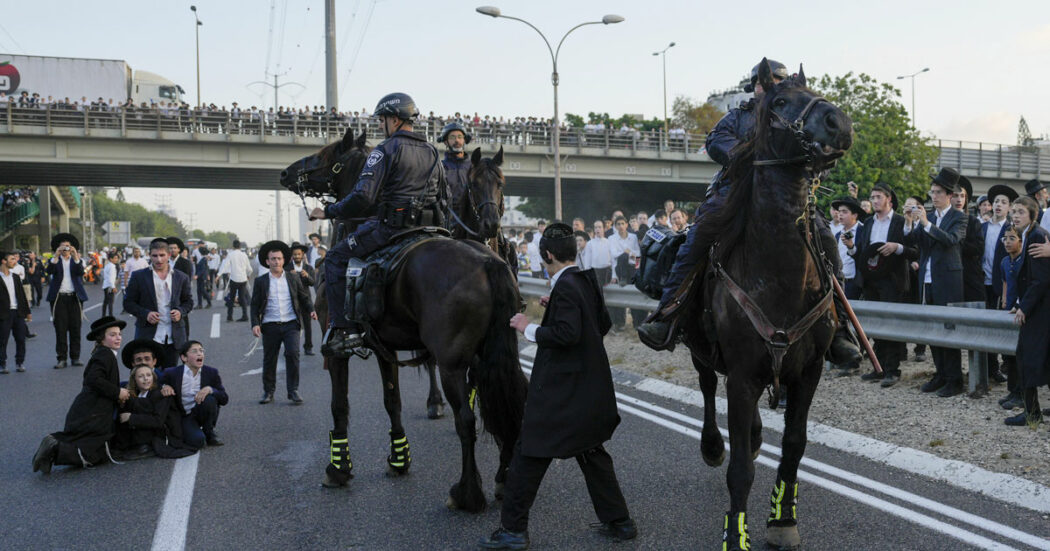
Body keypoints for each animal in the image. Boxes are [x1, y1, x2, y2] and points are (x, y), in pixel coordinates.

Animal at [279, 128, 529, 512]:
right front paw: (399, 458)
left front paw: (338, 468)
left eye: (325, 155)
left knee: (467, 419)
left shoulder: (335, 351)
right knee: (506, 401)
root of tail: (489, 262)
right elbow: (391, 401)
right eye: (475, 185)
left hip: (452, 360)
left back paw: (467, 492)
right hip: (495, 350)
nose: (287, 173)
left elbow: (339, 406)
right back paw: (503, 476)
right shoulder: (385, 347)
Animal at [680, 61, 852, 549]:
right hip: (702, 351)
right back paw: (712, 445)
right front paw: (734, 535)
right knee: (706, 389)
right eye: (779, 101)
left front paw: (783, 518)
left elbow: (794, 445)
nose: (839, 122)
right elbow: (739, 469)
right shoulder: (739, 375)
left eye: (814, 91)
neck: (778, 274)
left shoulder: (808, 372)